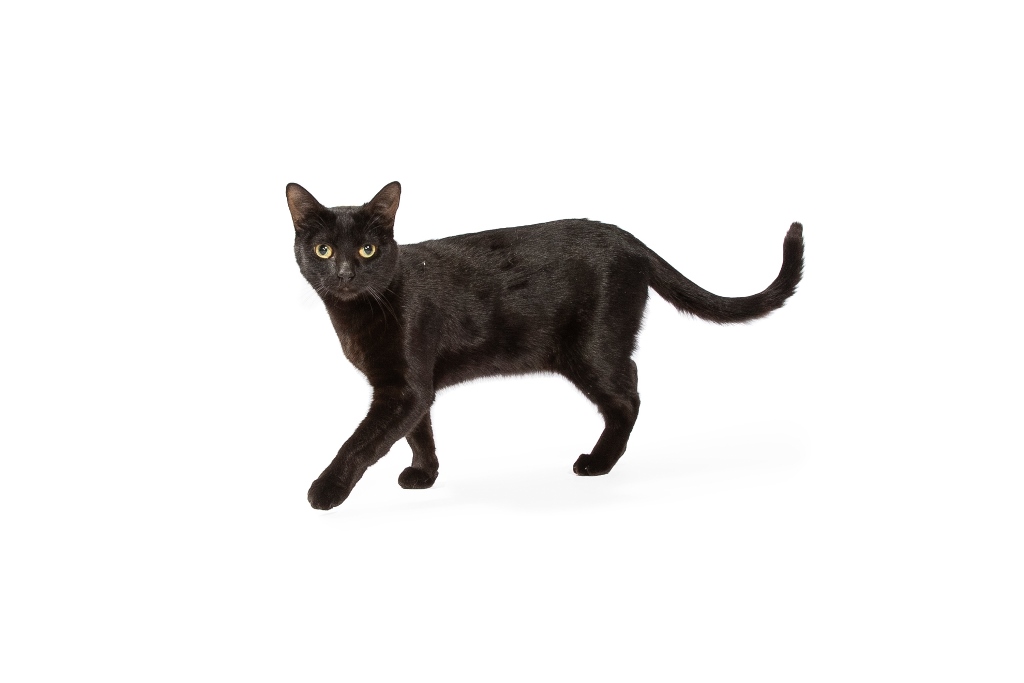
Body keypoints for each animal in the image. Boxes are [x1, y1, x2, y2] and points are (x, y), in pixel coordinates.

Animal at [286, 181, 804, 510]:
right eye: (324, 251)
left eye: (368, 250)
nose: (344, 274)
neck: (358, 312)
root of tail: (630, 240)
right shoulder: (414, 388)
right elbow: (419, 431)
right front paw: (425, 474)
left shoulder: (403, 387)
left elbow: (361, 442)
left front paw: (325, 490)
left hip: (590, 349)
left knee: (629, 396)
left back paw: (598, 463)